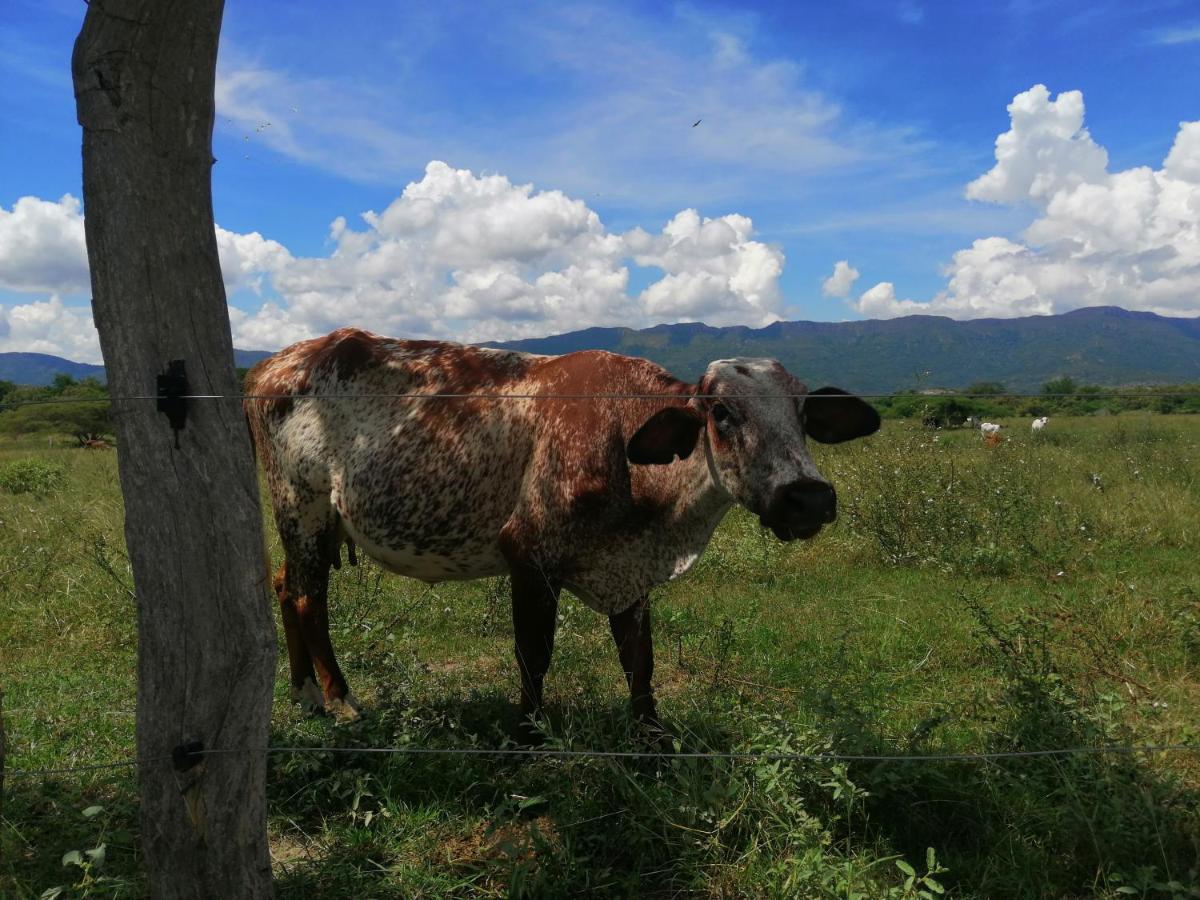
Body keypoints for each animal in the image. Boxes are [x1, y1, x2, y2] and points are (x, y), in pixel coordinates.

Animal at [243, 328, 883, 744]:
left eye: (804, 413)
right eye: (722, 413)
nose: (808, 497)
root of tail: (273, 365)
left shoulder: (630, 574)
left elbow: (639, 660)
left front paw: (651, 735)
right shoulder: (530, 559)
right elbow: (534, 655)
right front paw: (528, 732)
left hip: (318, 524)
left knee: (284, 586)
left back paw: (305, 696)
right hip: (302, 506)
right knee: (309, 598)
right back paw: (339, 699)